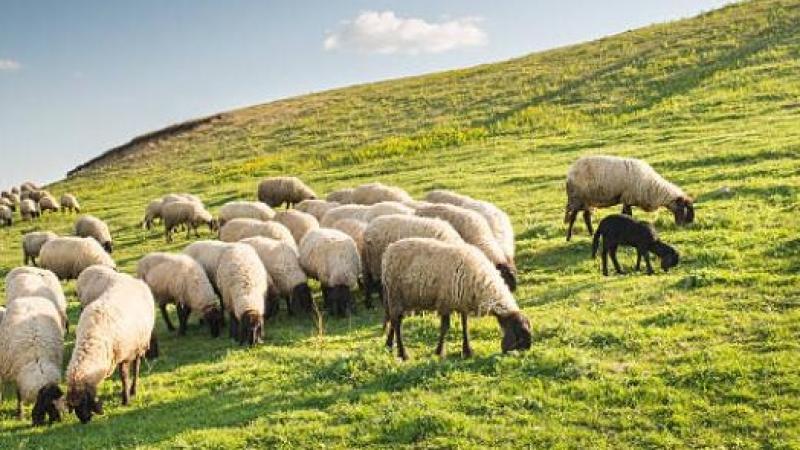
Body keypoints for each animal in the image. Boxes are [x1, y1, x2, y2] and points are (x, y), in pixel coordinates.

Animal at [0, 296, 64, 426]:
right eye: (50, 404)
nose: (58, 421)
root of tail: (29, 297)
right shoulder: (18, 373)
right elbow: (19, 395)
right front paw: (20, 415)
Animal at [66, 276, 156, 423]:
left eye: (84, 401)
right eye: (73, 407)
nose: (85, 420)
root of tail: (137, 280)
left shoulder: (123, 355)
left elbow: (124, 377)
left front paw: (126, 400)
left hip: (139, 344)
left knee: (136, 366)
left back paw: (133, 389)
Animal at [383, 238, 532, 360]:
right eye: (520, 336)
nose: (510, 355)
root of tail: (389, 249)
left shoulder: (462, 303)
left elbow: (465, 325)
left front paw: (467, 351)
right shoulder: (445, 302)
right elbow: (445, 327)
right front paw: (439, 351)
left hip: (402, 298)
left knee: (394, 319)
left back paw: (390, 344)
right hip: (396, 294)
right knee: (397, 322)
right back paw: (403, 354)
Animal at [565, 155, 695, 241]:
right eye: (682, 208)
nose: (681, 225)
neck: (654, 189)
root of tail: (571, 171)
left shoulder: (626, 199)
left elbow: (624, 214)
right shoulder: (628, 198)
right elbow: (628, 215)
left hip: (587, 200)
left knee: (586, 216)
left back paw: (591, 234)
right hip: (578, 197)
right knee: (573, 217)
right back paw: (568, 237)